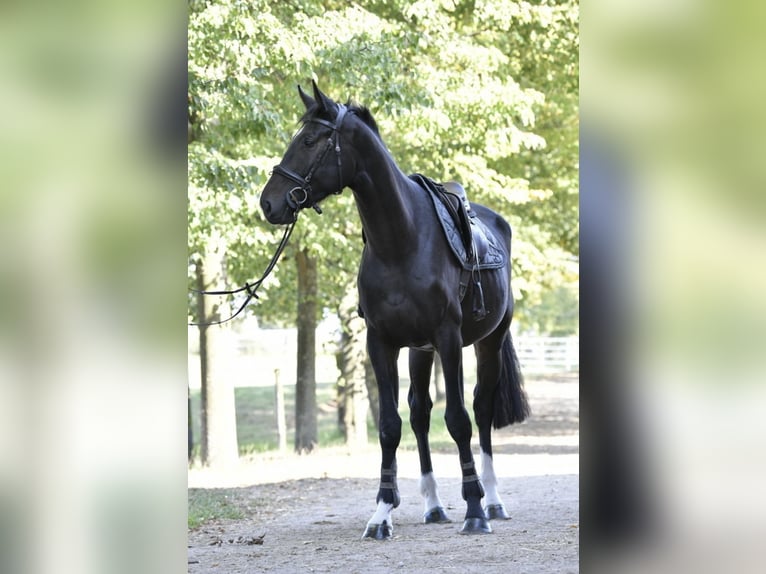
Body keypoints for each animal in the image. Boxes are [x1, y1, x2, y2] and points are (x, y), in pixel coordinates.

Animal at [260, 81, 532, 540]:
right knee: (420, 414)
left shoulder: (449, 339)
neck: (402, 239)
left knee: (481, 409)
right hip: (420, 352)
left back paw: (493, 501)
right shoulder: (381, 342)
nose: (269, 203)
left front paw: (474, 508)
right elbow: (391, 426)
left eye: (310, 140)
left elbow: (459, 419)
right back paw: (434, 506)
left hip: (487, 342)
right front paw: (382, 514)